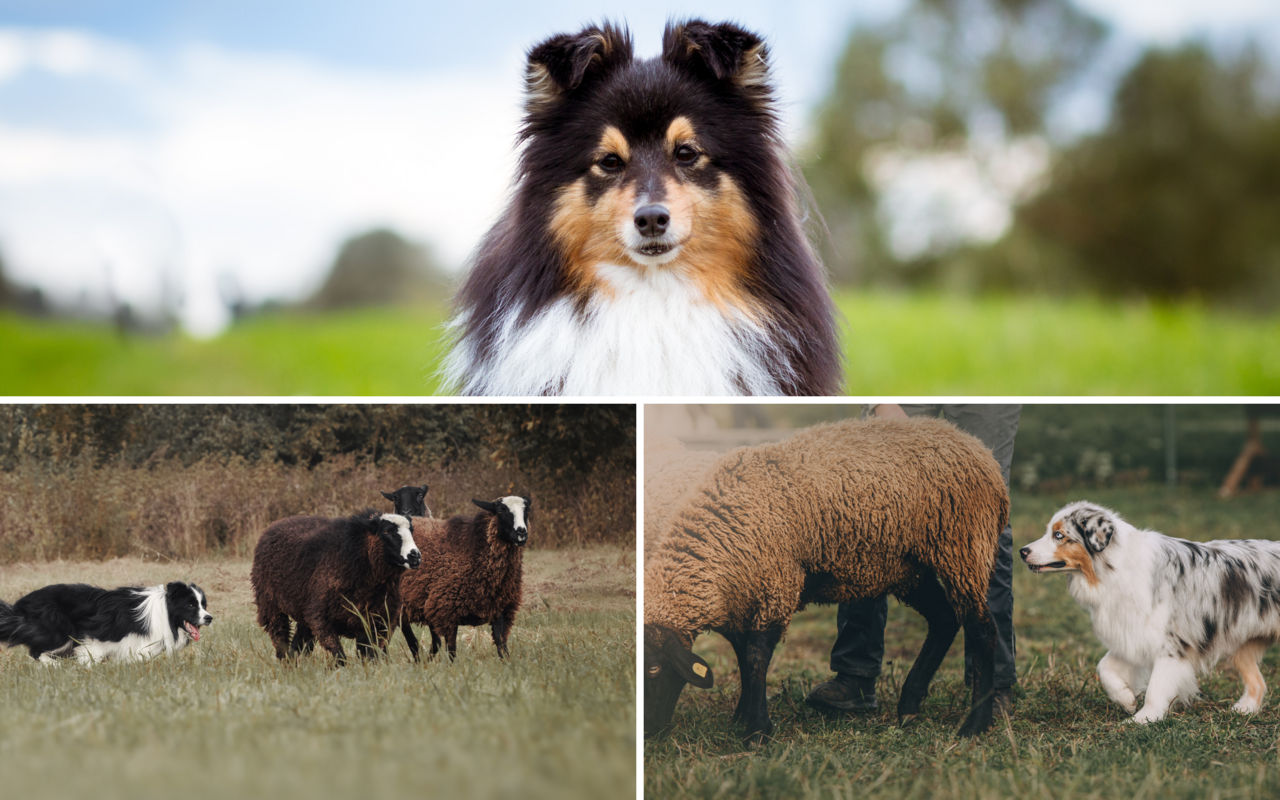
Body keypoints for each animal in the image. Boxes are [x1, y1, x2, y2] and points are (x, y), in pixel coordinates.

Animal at [0, 576, 212, 665]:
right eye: (191, 606)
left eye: (203, 604)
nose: (209, 618)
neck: (164, 612)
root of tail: (20, 605)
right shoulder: (99, 636)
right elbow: (93, 653)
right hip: (59, 632)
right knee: (36, 651)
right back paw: (53, 665)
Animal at [252, 509, 422, 665]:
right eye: (386, 531)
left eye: (411, 530)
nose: (415, 556)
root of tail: (278, 523)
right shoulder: (322, 619)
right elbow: (340, 657)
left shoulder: (379, 622)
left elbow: (371, 656)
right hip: (271, 604)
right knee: (279, 636)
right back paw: (286, 664)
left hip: (304, 609)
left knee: (297, 642)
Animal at [394, 496, 524, 660]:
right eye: (500, 510)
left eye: (527, 510)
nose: (522, 533)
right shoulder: (447, 611)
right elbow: (452, 651)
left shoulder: (500, 608)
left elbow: (501, 645)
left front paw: (507, 663)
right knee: (410, 638)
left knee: (433, 641)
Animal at [645, 417, 1003, 742]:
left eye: (654, 668)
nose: (649, 733)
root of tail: (979, 450)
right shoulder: (744, 596)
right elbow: (745, 656)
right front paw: (744, 717)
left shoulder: (778, 584)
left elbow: (756, 655)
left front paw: (757, 730)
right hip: (907, 566)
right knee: (944, 619)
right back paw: (910, 705)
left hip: (962, 547)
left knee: (981, 629)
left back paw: (975, 724)